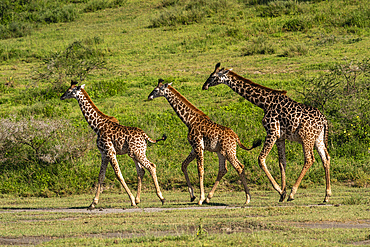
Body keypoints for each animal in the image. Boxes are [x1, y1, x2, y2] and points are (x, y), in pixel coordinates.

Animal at [202, 63, 332, 203]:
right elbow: (282, 163)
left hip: (306, 137)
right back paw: (327, 195)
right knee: (326, 158)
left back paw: (293, 193)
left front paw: (281, 191)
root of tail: (324, 120)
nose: (204, 86)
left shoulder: (272, 132)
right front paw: (282, 193)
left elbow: (261, 159)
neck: (264, 103)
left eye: (213, 76)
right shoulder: (280, 137)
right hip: (318, 138)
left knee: (309, 159)